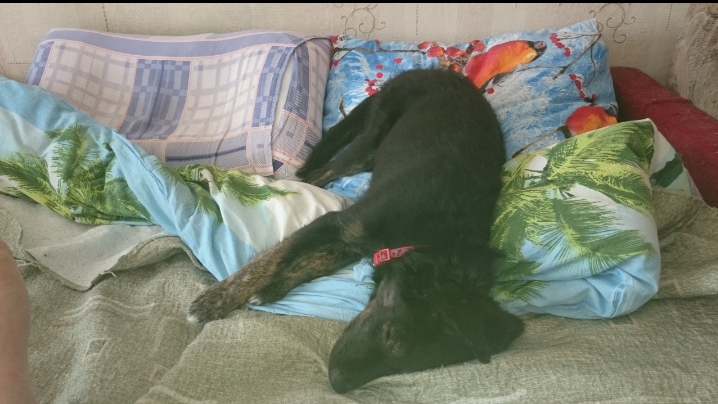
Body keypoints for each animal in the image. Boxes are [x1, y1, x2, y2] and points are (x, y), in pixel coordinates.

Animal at [187, 69, 524, 393]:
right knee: (319, 173)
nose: (338, 384)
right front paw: (215, 301)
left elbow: (311, 265)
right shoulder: (337, 223)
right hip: (368, 144)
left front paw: (272, 290)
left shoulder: (352, 241)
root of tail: (437, 70)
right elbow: (267, 262)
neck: (433, 240)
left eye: (415, 367)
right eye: (388, 333)